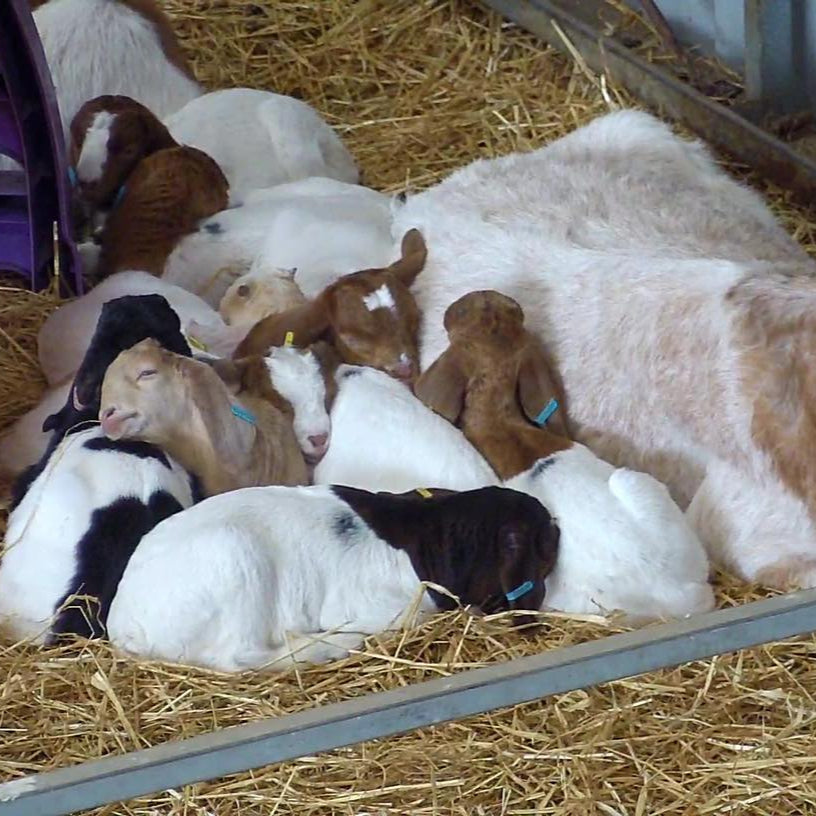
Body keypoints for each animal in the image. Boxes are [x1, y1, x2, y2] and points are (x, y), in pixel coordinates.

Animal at [106, 483, 560, 671]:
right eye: (540, 542)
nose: (557, 527)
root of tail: (124, 624)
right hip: (235, 562)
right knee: (239, 657)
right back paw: (330, 647)